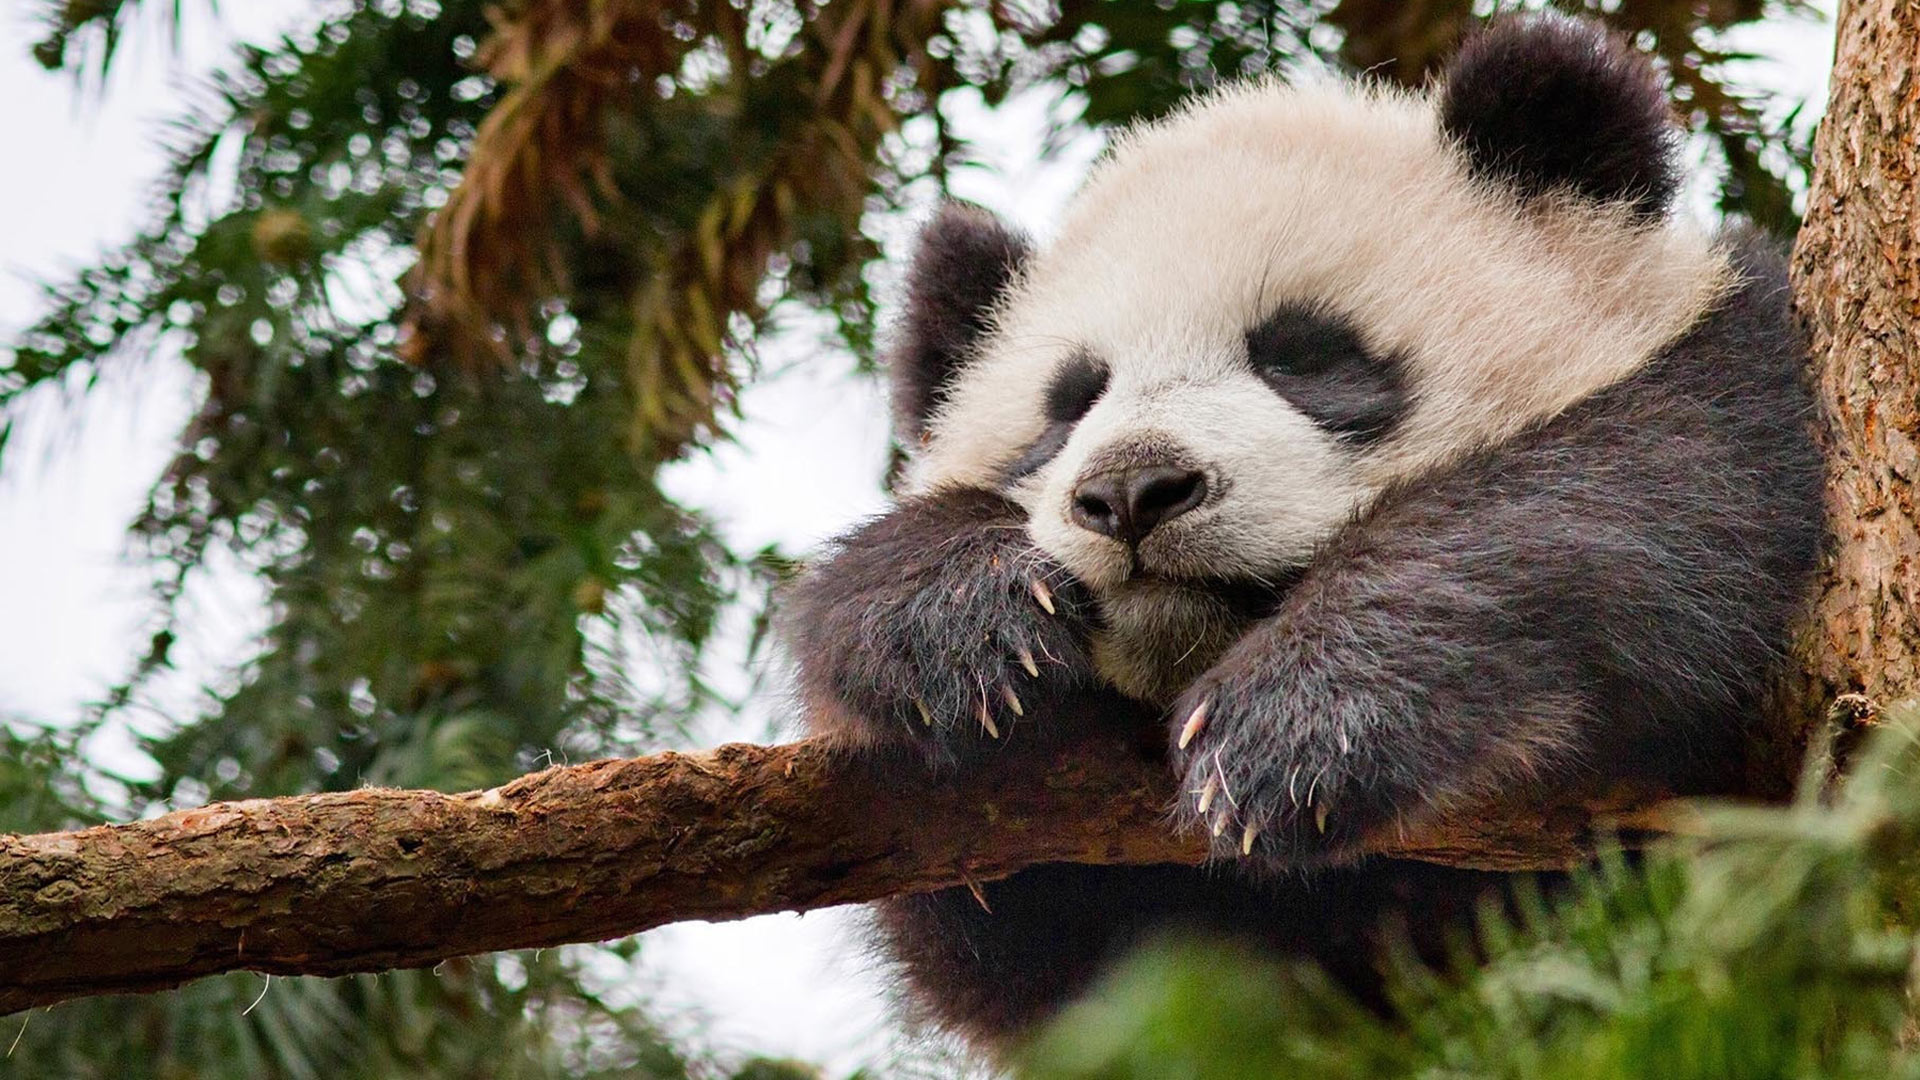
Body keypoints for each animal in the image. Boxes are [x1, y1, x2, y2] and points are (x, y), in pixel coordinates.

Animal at [775, 8, 1812, 1053]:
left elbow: (1652, 498)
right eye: (1068, 406)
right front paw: (954, 615)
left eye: (1304, 356)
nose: (1132, 490)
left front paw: (1298, 726)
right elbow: (1014, 930)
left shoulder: (1748, 386)